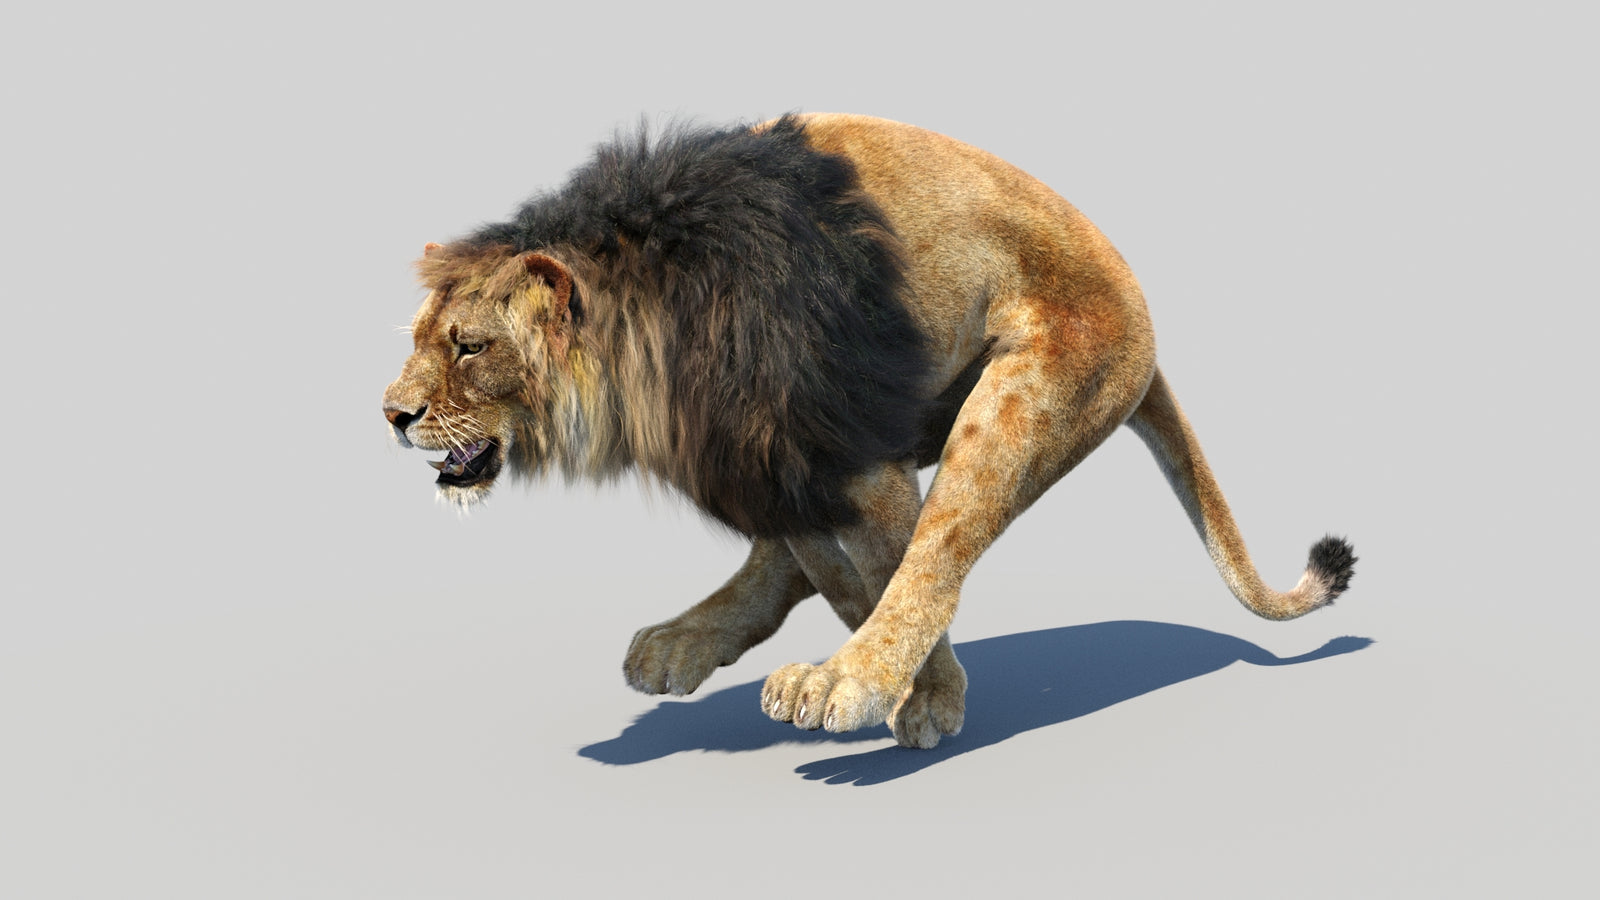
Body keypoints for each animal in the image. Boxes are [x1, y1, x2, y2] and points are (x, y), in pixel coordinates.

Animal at [382, 113, 1356, 749]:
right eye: (421, 339)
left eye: (469, 346)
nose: (391, 414)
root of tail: (1140, 301)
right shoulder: (778, 459)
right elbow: (830, 565)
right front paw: (896, 678)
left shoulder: (847, 445)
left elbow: (906, 565)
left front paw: (898, 693)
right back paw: (684, 641)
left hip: (1031, 388)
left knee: (944, 537)